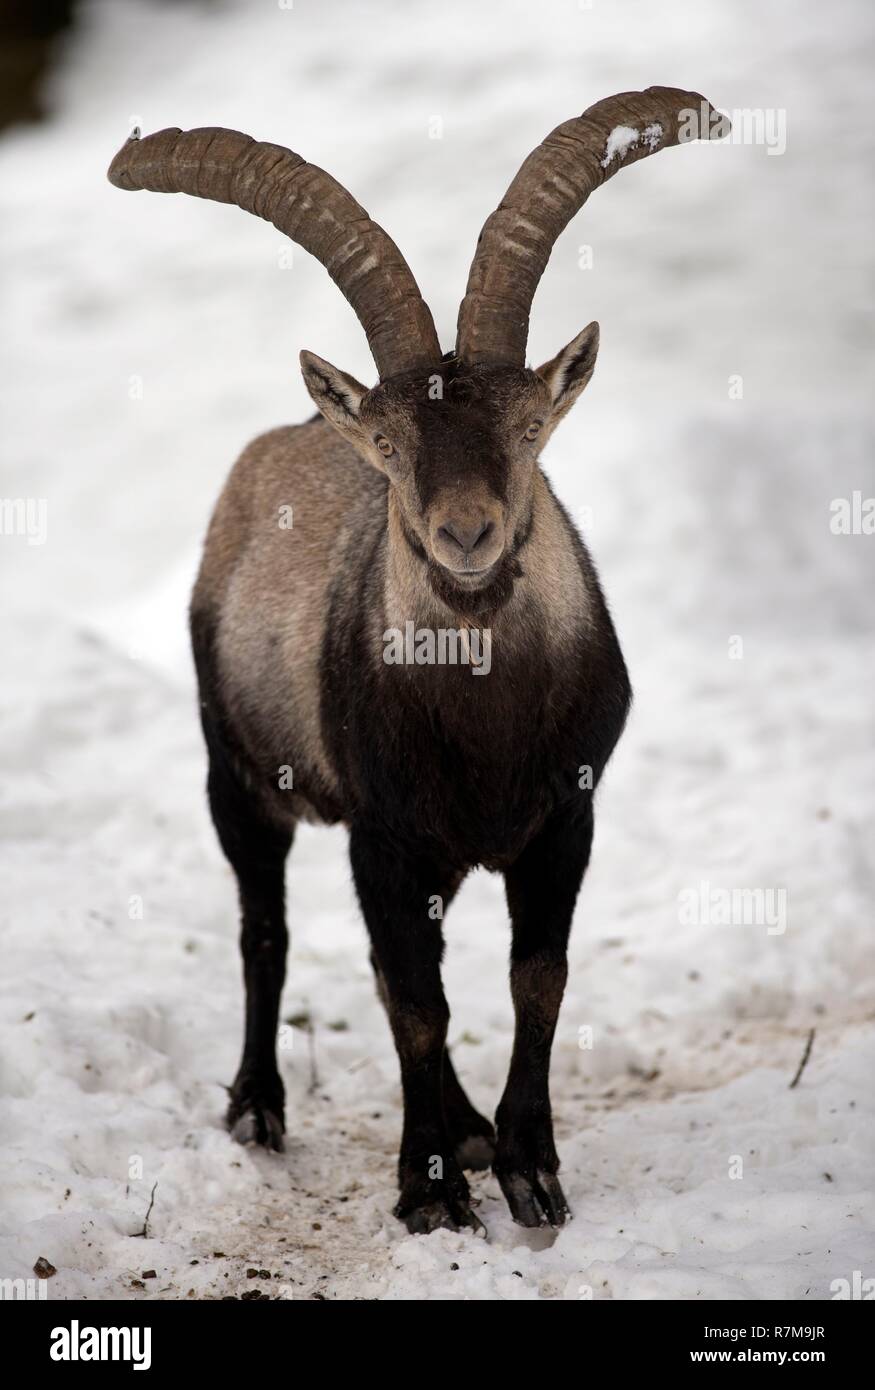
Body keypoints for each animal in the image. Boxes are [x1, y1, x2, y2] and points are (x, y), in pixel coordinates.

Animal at [108, 87, 726, 1235]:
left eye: (528, 428)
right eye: (392, 445)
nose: (466, 533)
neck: (487, 724)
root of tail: (285, 440)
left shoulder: (563, 819)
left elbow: (535, 979)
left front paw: (528, 1170)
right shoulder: (384, 834)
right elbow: (415, 1003)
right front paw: (429, 1192)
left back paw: (470, 1127)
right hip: (237, 773)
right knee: (267, 930)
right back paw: (258, 1107)